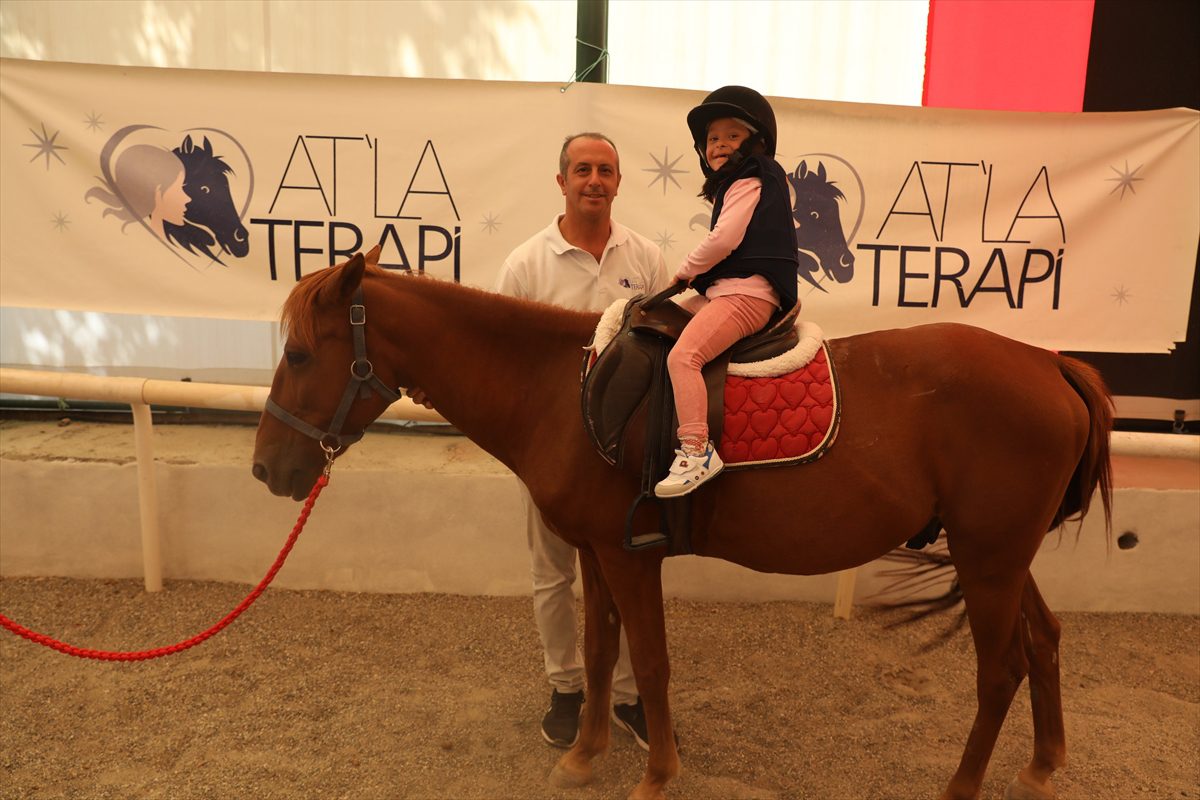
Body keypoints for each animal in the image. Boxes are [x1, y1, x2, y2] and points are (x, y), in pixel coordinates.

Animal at [253, 250, 1113, 800]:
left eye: (298, 355)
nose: (267, 469)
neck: (561, 389)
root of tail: (1051, 363)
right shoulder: (597, 553)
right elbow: (603, 653)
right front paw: (584, 757)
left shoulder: (632, 557)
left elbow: (653, 662)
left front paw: (655, 774)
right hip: (999, 558)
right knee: (1045, 640)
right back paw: (1042, 765)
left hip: (988, 560)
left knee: (1000, 670)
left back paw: (963, 785)